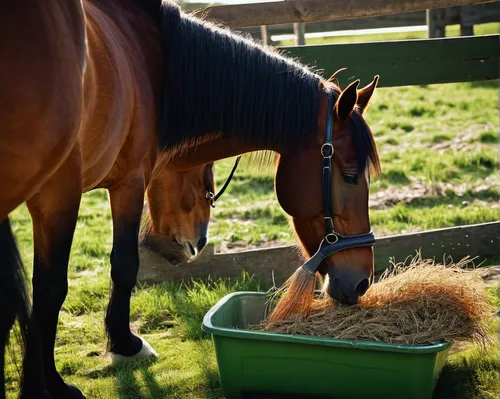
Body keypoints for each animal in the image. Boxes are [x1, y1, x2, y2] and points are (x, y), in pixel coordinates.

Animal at [0, 0, 378, 399]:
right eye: (350, 176)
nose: (362, 282)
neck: (151, 56)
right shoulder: (103, 187)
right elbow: (91, 276)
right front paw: (112, 351)